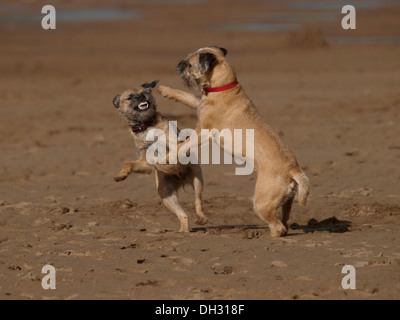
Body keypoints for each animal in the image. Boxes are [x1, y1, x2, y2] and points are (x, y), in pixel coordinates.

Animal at [111, 79, 208, 230]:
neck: (146, 125)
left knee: (198, 201)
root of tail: (181, 181)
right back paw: (182, 231)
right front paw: (121, 175)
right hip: (166, 196)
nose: (141, 96)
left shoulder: (174, 144)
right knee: (183, 215)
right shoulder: (144, 161)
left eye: (145, 92)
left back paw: (201, 217)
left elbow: (167, 153)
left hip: (197, 180)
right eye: (130, 97)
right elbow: (130, 163)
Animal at [158, 47, 310, 238]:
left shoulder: (203, 132)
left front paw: (165, 158)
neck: (224, 86)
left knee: (278, 227)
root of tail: (293, 168)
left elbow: (181, 146)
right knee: (285, 222)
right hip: (287, 201)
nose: (179, 64)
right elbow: (187, 96)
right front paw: (165, 90)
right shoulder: (199, 103)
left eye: (190, 64)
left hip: (261, 202)